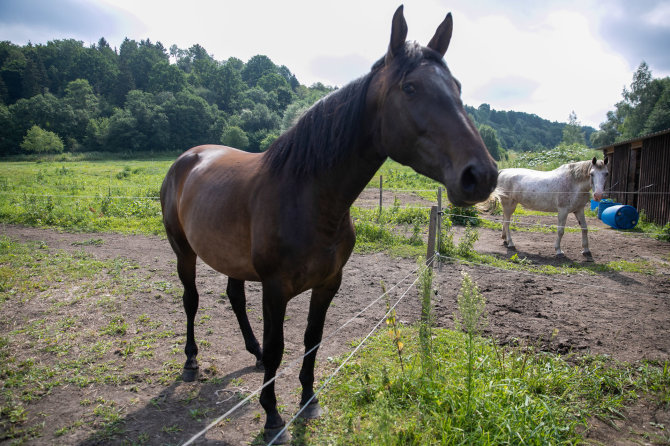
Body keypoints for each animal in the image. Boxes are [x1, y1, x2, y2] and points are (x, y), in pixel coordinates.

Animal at [161, 6, 498, 442]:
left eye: (456, 86)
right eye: (410, 88)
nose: (482, 175)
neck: (309, 196)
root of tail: (187, 158)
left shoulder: (328, 283)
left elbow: (312, 340)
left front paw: (308, 399)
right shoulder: (275, 289)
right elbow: (280, 347)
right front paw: (272, 415)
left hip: (231, 258)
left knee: (235, 297)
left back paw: (252, 354)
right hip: (183, 250)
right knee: (192, 299)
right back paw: (191, 362)